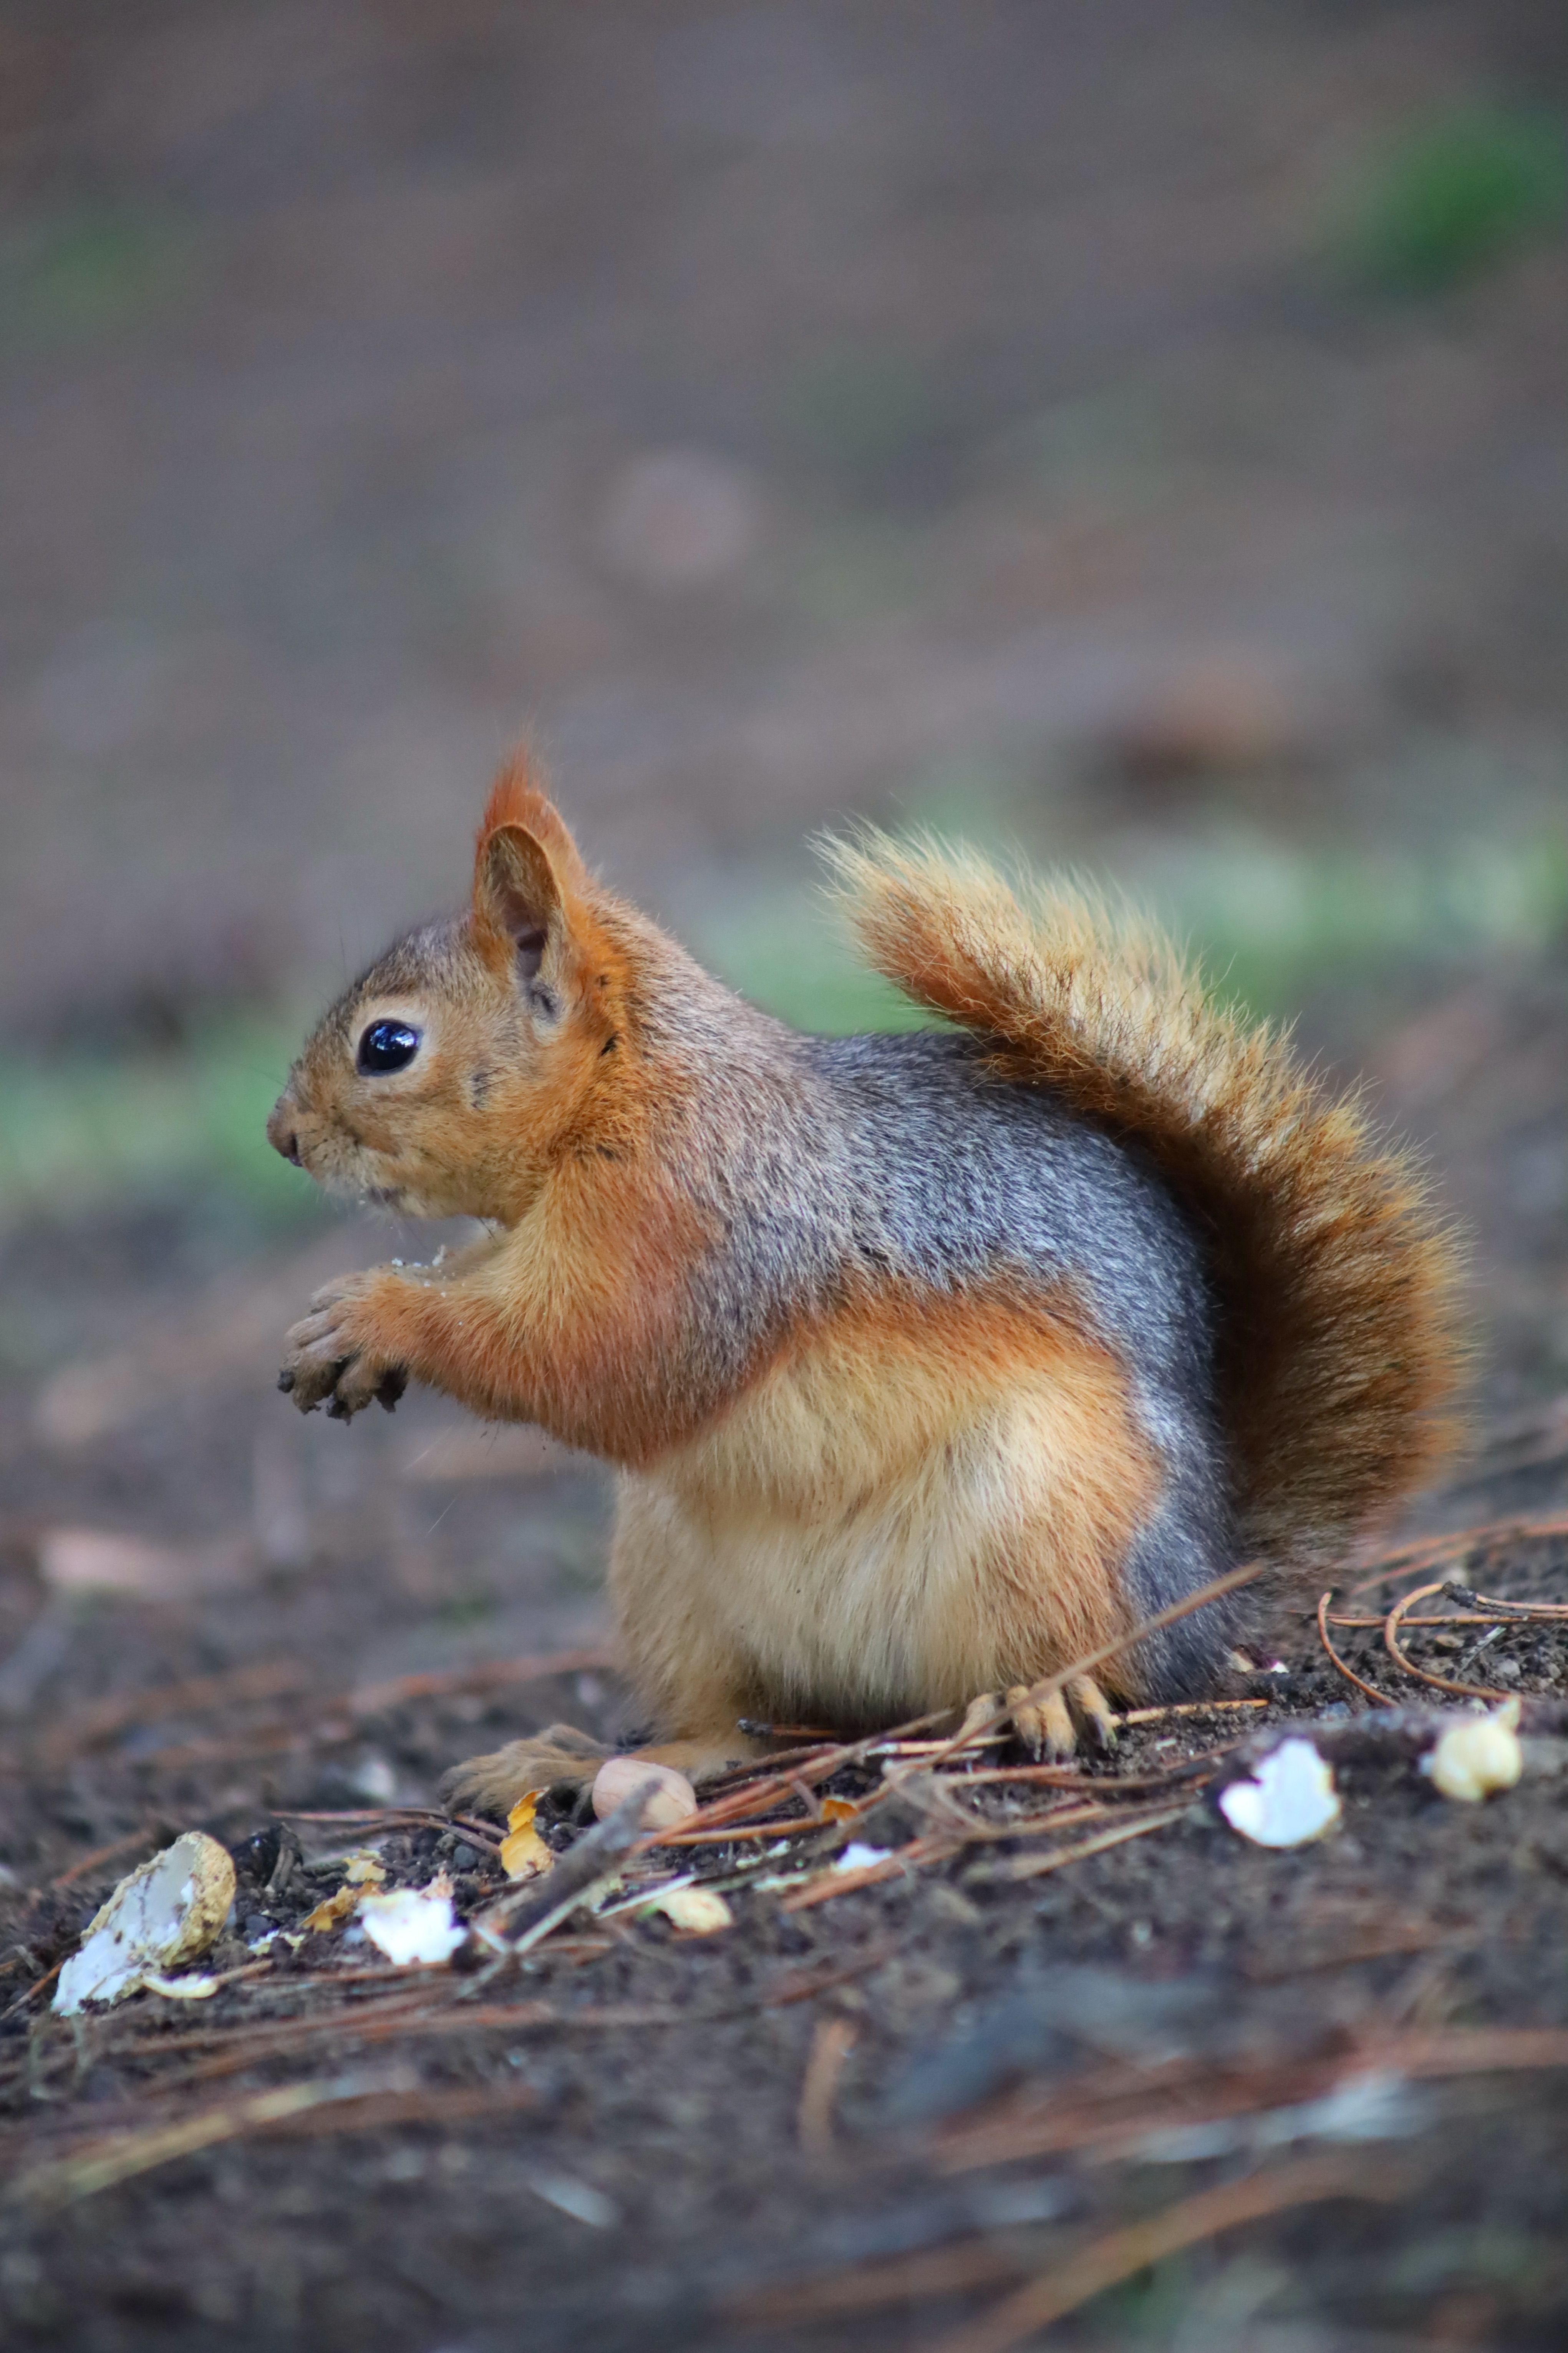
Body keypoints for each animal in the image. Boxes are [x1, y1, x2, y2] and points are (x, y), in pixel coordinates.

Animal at [268, 749, 1464, 1818]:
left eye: (388, 1044)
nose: (281, 1137)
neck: (627, 1085)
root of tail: (1212, 1582)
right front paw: (341, 1317)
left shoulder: (699, 1224)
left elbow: (602, 1358)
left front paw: (385, 1313)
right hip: (672, 1584)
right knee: (730, 1727)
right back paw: (576, 1760)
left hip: (1048, 1521)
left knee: (1096, 1660)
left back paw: (1046, 1694)